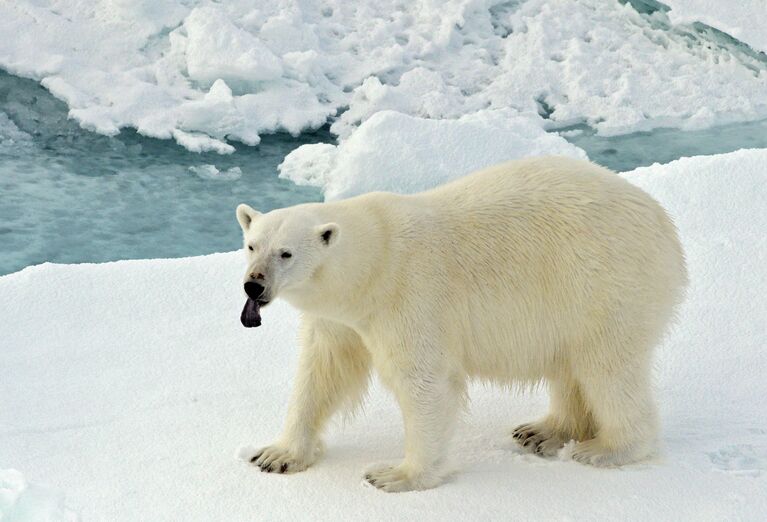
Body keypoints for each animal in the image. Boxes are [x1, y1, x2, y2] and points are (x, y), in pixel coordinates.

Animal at [236, 156, 688, 490]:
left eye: (286, 253)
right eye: (252, 245)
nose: (253, 285)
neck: (375, 262)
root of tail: (664, 224)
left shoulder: (409, 298)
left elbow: (424, 382)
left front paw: (396, 475)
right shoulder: (341, 319)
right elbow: (323, 373)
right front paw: (277, 455)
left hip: (604, 284)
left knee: (606, 367)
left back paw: (606, 449)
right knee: (571, 366)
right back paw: (542, 431)